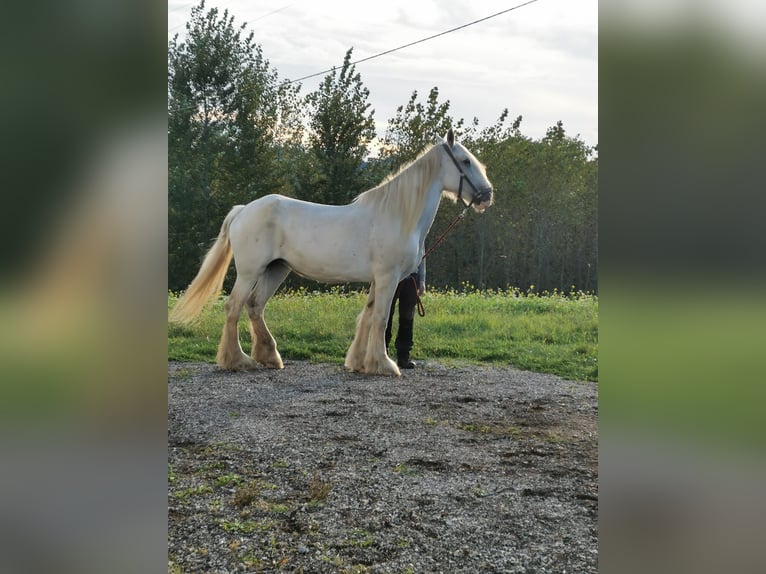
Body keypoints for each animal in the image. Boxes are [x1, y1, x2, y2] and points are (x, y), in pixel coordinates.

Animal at [169, 129, 494, 376]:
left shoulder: (379, 280)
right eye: (465, 161)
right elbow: (380, 318)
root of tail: (243, 209)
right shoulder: (388, 278)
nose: (487, 196)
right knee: (233, 307)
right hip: (250, 271)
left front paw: (360, 363)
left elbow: (367, 315)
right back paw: (237, 361)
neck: (396, 215)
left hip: (276, 269)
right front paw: (384, 365)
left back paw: (269, 357)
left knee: (255, 306)